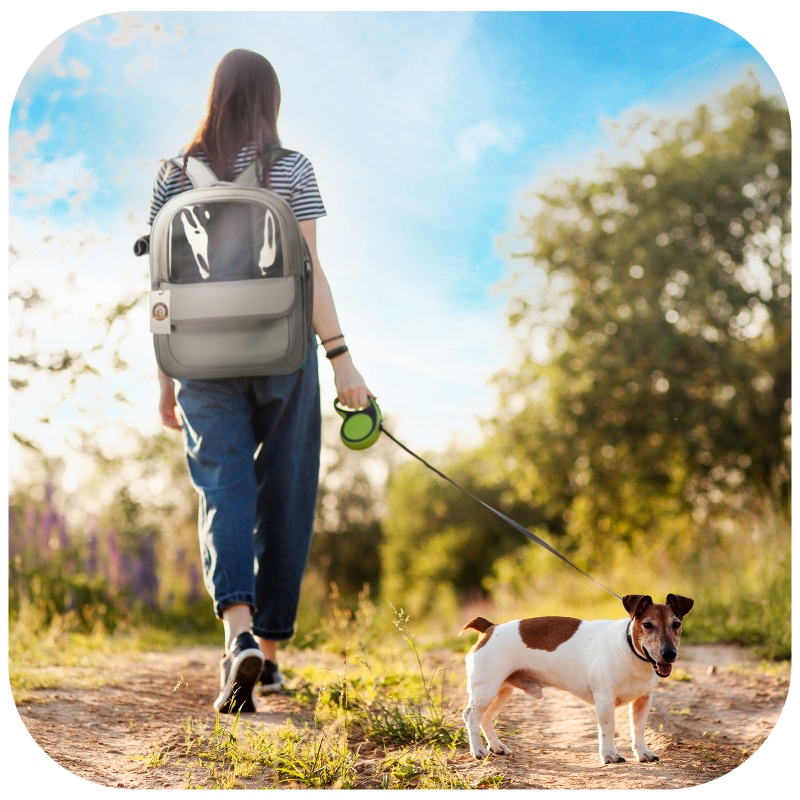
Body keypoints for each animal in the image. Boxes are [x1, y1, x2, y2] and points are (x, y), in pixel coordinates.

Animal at [462, 592, 692, 764]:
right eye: (647, 624)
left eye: (676, 624)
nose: (669, 654)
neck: (629, 650)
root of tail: (490, 627)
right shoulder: (605, 701)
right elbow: (608, 729)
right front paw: (610, 755)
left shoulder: (643, 700)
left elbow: (638, 729)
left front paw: (643, 753)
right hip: (486, 689)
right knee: (471, 716)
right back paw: (479, 751)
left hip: (501, 690)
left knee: (485, 717)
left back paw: (497, 747)